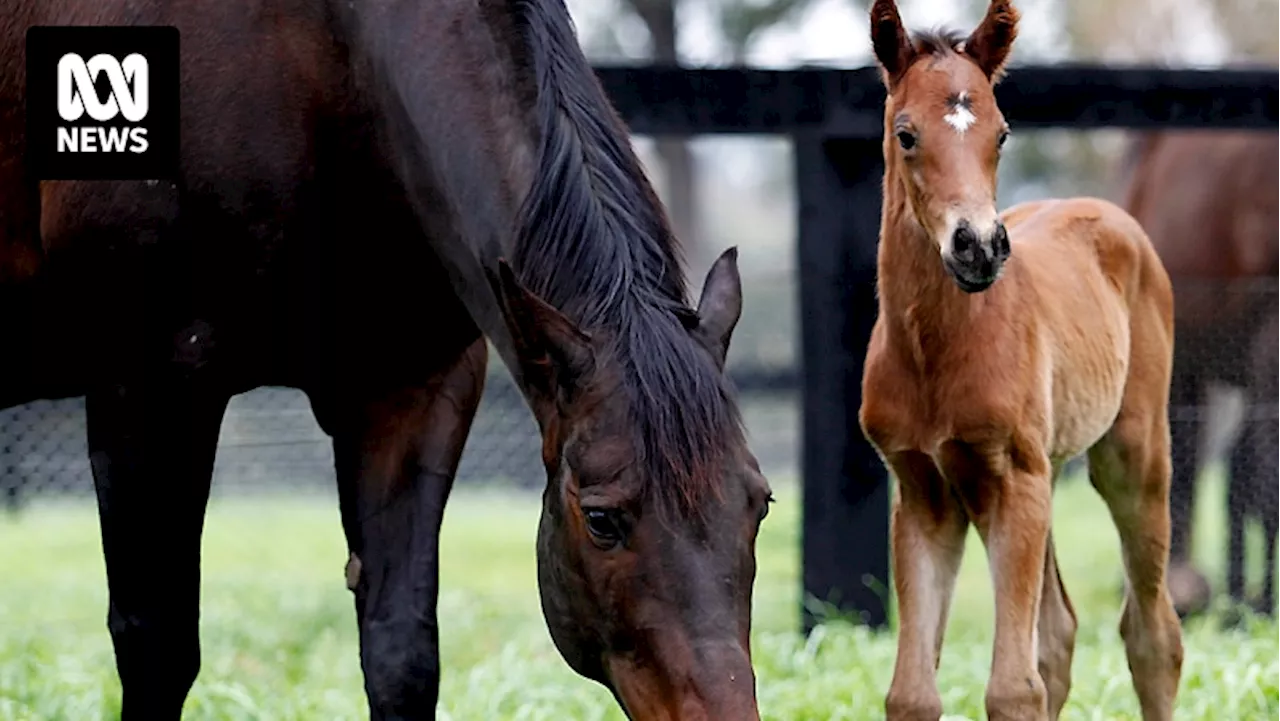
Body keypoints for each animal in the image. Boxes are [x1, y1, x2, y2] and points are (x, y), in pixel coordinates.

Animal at [0, 1, 768, 721]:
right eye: (603, 519)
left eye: (759, 503)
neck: (325, 55)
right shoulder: (143, 386)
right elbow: (156, 648)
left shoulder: (411, 392)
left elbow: (400, 653)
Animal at [855, 1, 1182, 721]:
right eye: (906, 133)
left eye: (1002, 134)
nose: (978, 247)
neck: (934, 353)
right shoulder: (921, 490)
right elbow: (911, 692)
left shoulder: (1011, 478)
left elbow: (1012, 687)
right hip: (1047, 469)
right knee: (1059, 633)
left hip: (1129, 457)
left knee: (1153, 636)